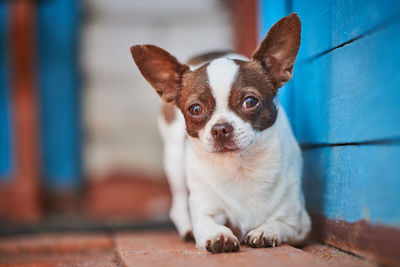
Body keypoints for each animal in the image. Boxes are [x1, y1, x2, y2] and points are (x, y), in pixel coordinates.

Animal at [130, 13, 310, 254]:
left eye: (250, 102)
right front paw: (220, 235)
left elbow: (279, 224)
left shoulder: (299, 225)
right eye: (195, 109)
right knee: (178, 203)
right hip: (174, 160)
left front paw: (265, 231)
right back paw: (186, 228)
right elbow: (207, 223)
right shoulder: (205, 211)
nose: (220, 128)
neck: (240, 168)